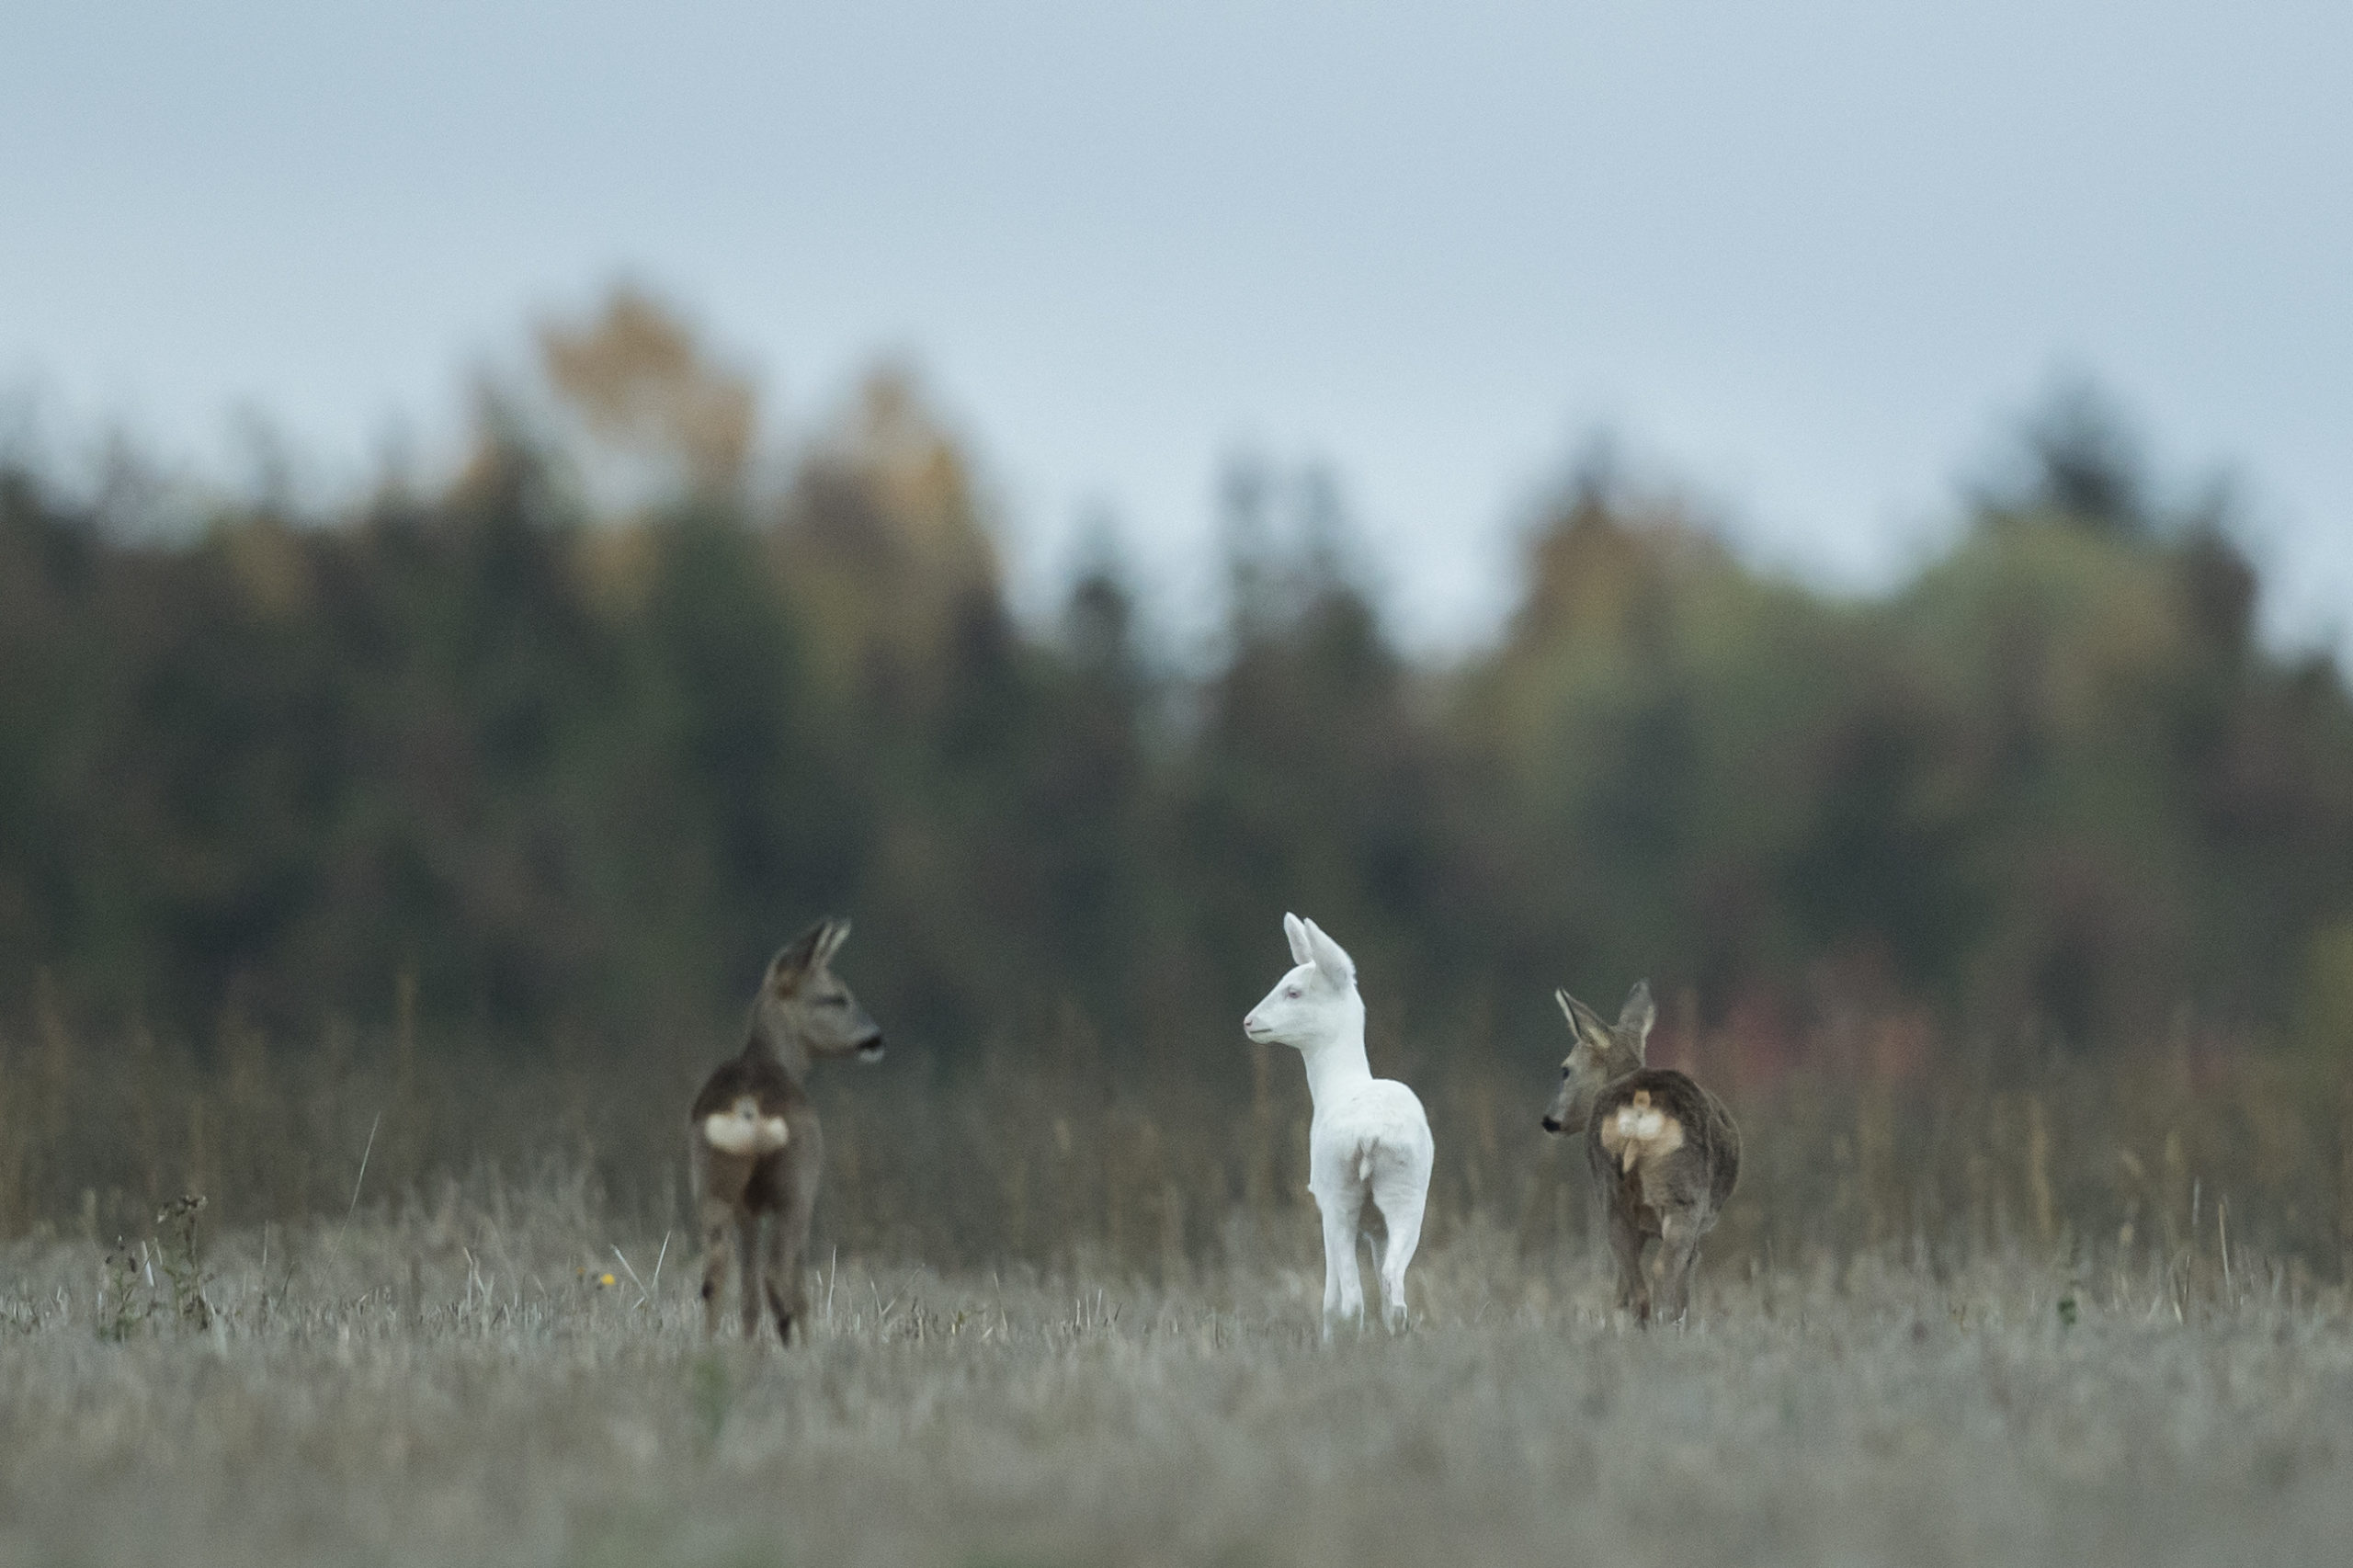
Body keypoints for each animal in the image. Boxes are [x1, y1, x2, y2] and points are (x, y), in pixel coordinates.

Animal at [696, 918, 889, 1346]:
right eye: (837, 997)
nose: (876, 1038)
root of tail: (748, 1105)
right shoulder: (801, 1189)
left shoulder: (748, 1208)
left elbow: (747, 1295)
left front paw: (749, 1342)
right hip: (795, 1185)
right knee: (782, 1272)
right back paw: (795, 1339)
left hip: (713, 1182)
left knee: (717, 1274)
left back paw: (713, 1345)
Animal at [1552, 979, 1741, 1318]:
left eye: (1565, 1069)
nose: (1550, 1120)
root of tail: (1640, 1107)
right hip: (1682, 1198)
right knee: (1663, 1272)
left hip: (1613, 1199)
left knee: (1632, 1287)